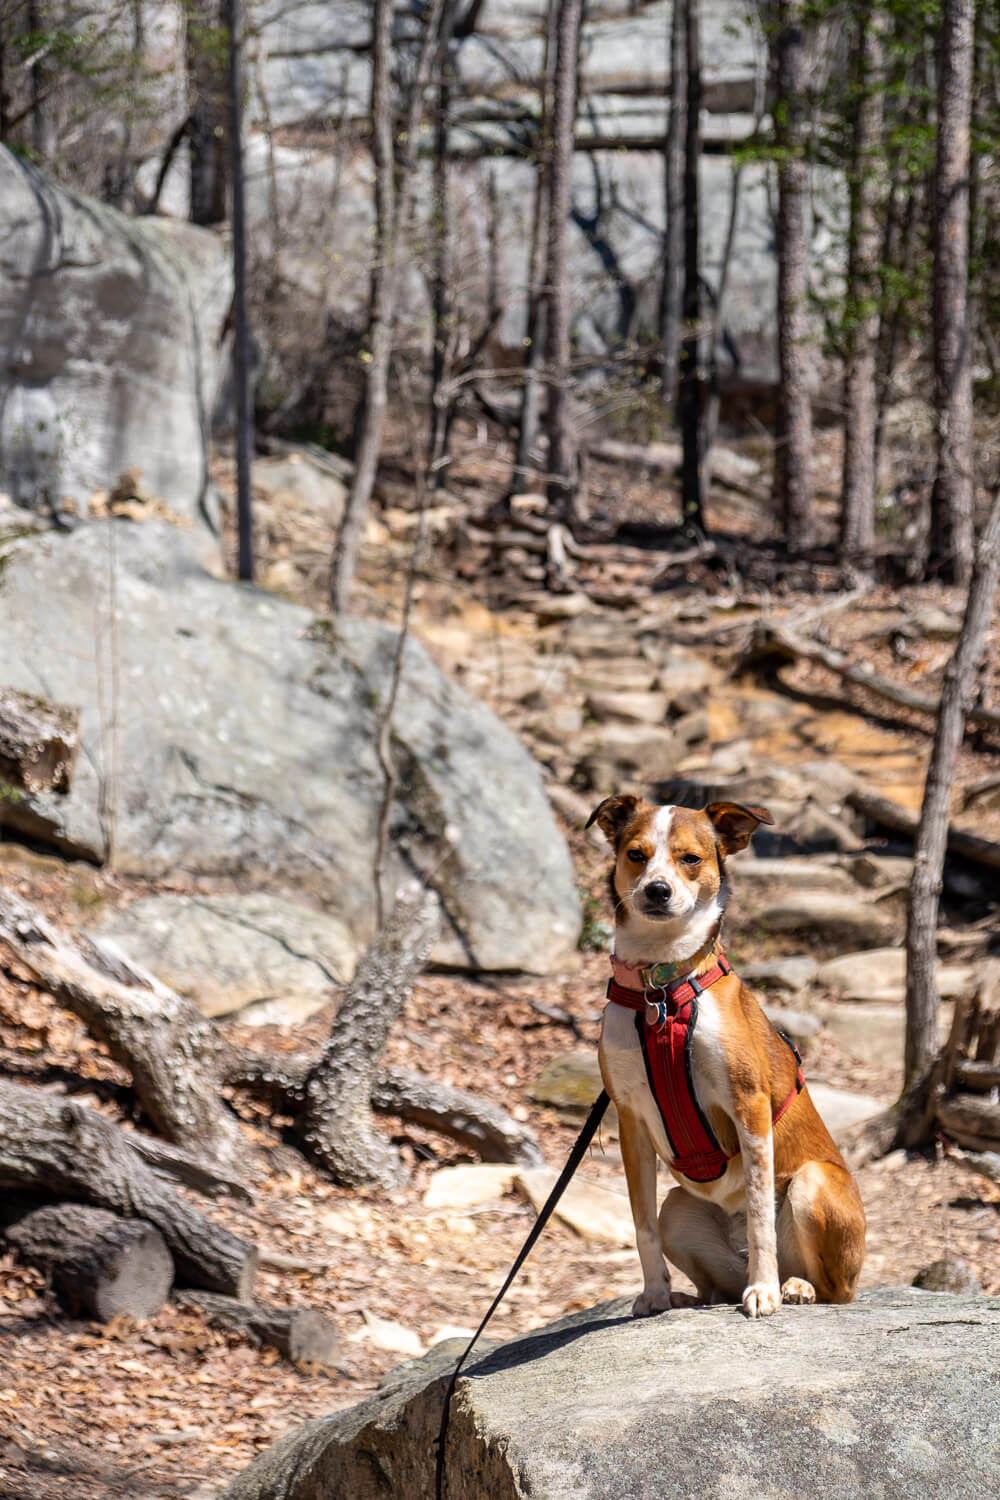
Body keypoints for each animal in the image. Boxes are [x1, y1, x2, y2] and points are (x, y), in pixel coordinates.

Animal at [590, 792, 863, 1320]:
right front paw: (655, 1294)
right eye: (636, 854)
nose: (657, 890)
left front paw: (764, 1290)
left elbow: (758, 1215)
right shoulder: (631, 1122)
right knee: (711, 1287)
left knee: (836, 1291)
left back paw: (796, 1286)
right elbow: (641, 1224)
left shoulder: (748, 1106)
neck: (662, 988)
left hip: (813, 1183)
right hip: (679, 1208)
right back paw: (688, 1296)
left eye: (690, 859)